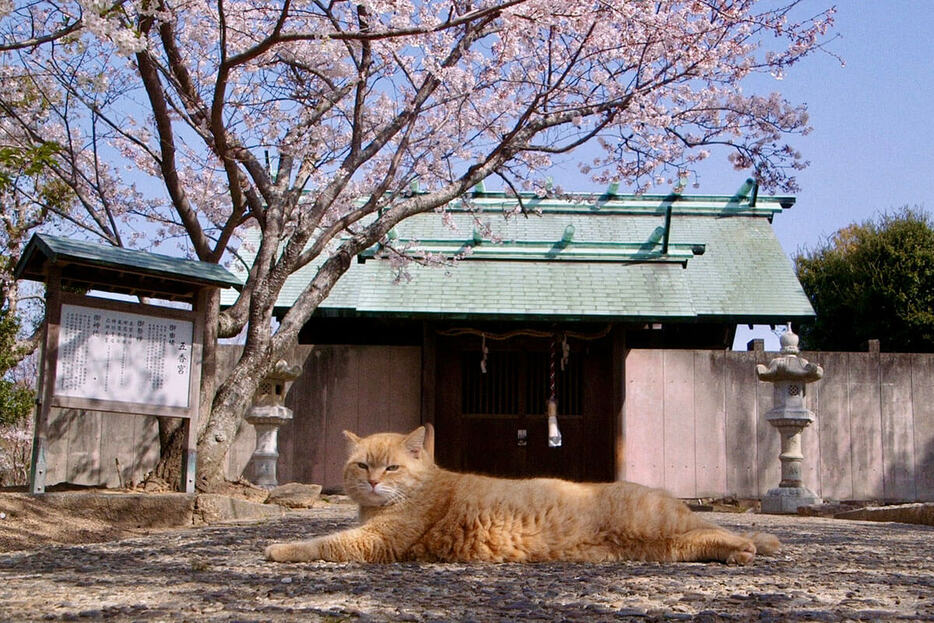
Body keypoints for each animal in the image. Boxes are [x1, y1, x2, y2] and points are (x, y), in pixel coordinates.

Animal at [266, 428, 784, 564]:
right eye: (362, 466)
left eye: (391, 467)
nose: (374, 482)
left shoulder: (374, 542)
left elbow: (322, 543)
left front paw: (278, 548)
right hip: (665, 547)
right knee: (710, 534)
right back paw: (750, 549)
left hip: (659, 526)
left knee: (719, 526)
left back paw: (754, 545)